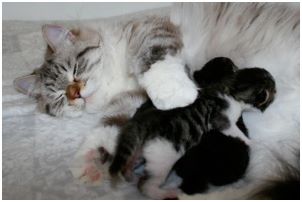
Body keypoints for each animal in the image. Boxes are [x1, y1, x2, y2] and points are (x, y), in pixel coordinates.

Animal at [108, 57, 276, 200]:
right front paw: (251, 142)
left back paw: (129, 174)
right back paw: (165, 192)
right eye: (272, 88)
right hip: (162, 158)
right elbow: (237, 133)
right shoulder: (222, 120)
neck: (229, 86)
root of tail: (141, 123)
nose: (275, 84)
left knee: (129, 163)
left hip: (138, 152)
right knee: (145, 185)